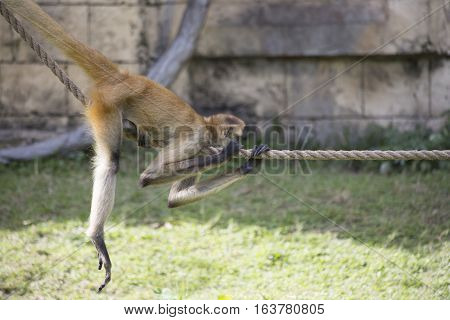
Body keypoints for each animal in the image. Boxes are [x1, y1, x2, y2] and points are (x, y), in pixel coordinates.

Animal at [3, 0, 268, 292]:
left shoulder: (198, 147)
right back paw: (97, 235)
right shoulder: (195, 138)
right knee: (111, 162)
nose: (241, 142)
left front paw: (248, 166)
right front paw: (228, 153)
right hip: (105, 105)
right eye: (238, 135)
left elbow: (175, 199)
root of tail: (125, 76)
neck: (205, 124)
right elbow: (147, 177)